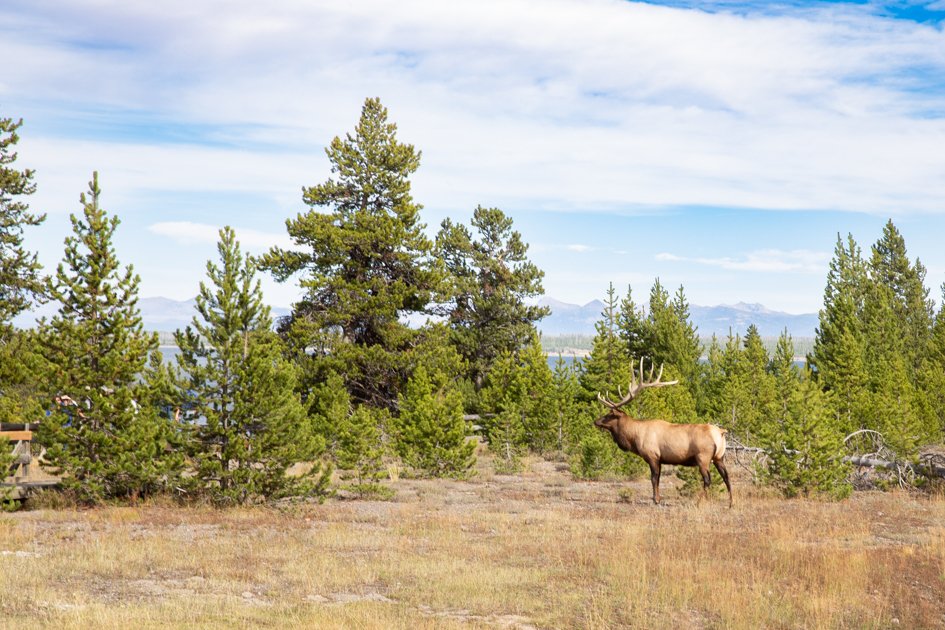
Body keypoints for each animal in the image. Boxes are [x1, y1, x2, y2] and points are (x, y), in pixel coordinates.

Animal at [595, 358, 733, 507]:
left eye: (609, 415)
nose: (595, 421)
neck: (634, 438)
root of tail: (721, 432)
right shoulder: (660, 459)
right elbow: (659, 479)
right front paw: (658, 499)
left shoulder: (652, 456)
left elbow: (653, 479)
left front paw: (655, 500)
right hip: (719, 457)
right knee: (726, 476)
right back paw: (731, 502)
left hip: (703, 457)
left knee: (708, 479)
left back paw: (699, 501)